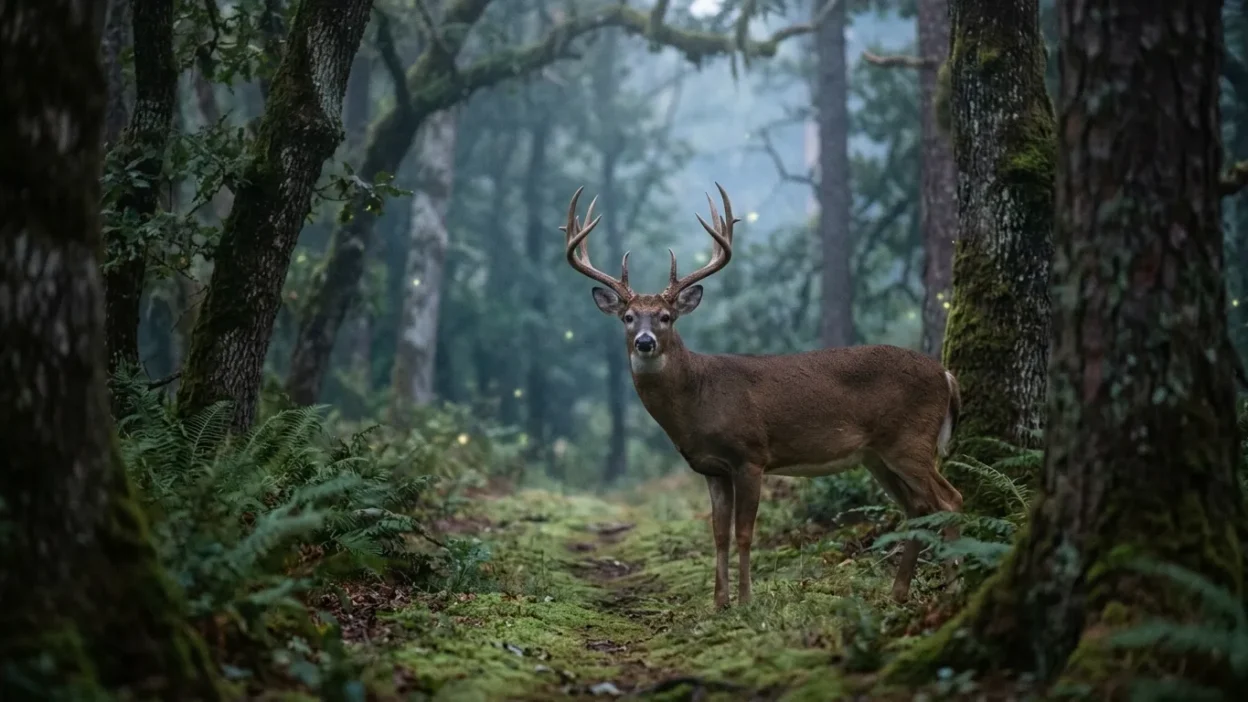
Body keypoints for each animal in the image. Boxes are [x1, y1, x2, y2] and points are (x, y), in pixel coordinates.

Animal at [558, 183, 964, 607]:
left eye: (666, 317)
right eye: (628, 317)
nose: (645, 342)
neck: (698, 399)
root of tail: (946, 375)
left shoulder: (751, 455)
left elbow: (744, 533)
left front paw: (745, 600)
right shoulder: (712, 468)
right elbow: (718, 534)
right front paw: (719, 602)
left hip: (910, 440)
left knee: (951, 500)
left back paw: (953, 588)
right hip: (878, 455)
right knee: (919, 507)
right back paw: (899, 592)